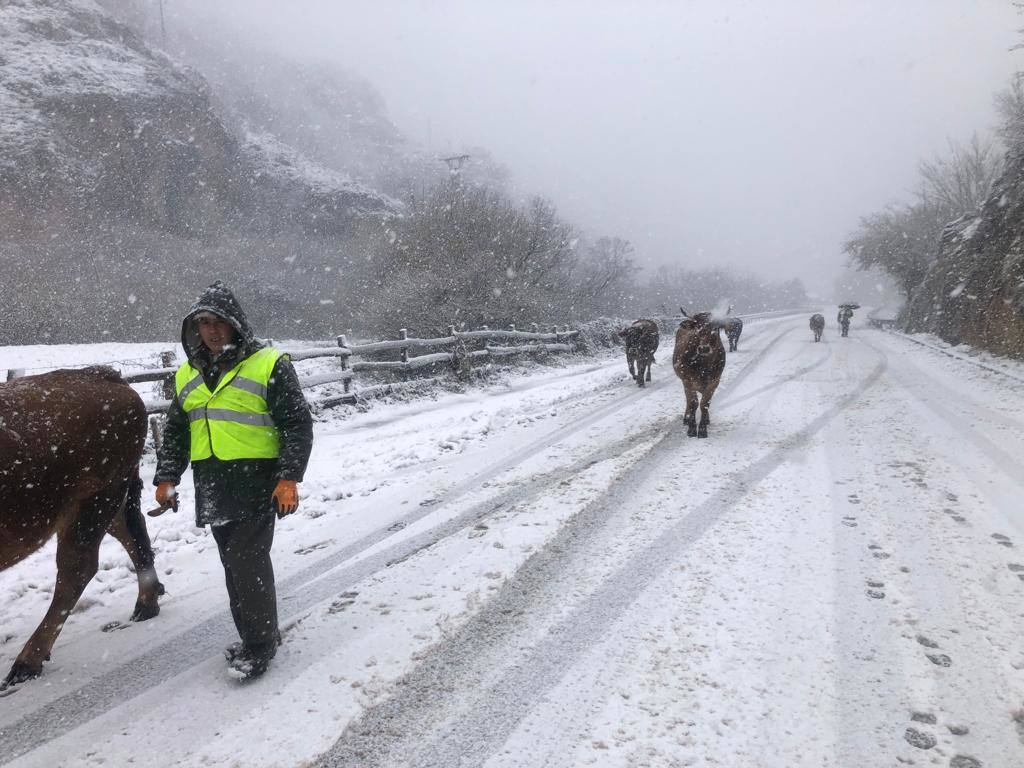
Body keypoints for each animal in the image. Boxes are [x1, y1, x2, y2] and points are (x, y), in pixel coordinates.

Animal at [0, 368, 161, 692]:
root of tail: (103, 374)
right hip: (104, 504)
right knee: (131, 532)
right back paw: (146, 604)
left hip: (92, 505)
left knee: (76, 570)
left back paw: (26, 663)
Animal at [671, 309, 729, 438]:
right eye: (698, 327)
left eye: (715, 328)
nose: (704, 348)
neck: (704, 364)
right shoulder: (688, 380)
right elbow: (693, 403)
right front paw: (692, 429)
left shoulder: (714, 381)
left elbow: (705, 404)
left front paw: (702, 429)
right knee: (689, 400)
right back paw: (687, 419)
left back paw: (706, 419)